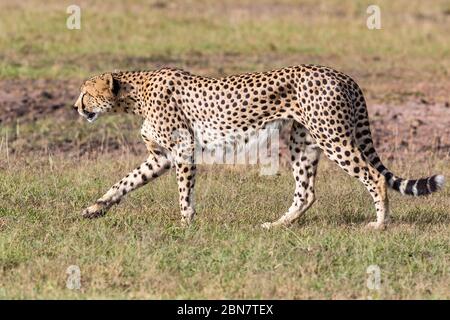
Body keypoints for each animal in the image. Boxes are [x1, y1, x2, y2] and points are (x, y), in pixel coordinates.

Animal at [72, 65, 444, 230]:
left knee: (374, 177)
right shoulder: (160, 157)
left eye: (86, 92)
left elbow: (184, 191)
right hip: (302, 140)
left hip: (332, 137)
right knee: (306, 192)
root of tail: (342, 75)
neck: (134, 94)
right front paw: (95, 208)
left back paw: (379, 225)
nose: (75, 106)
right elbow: (124, 183)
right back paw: (278, 225)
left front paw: (185, 224)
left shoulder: (183, 149)